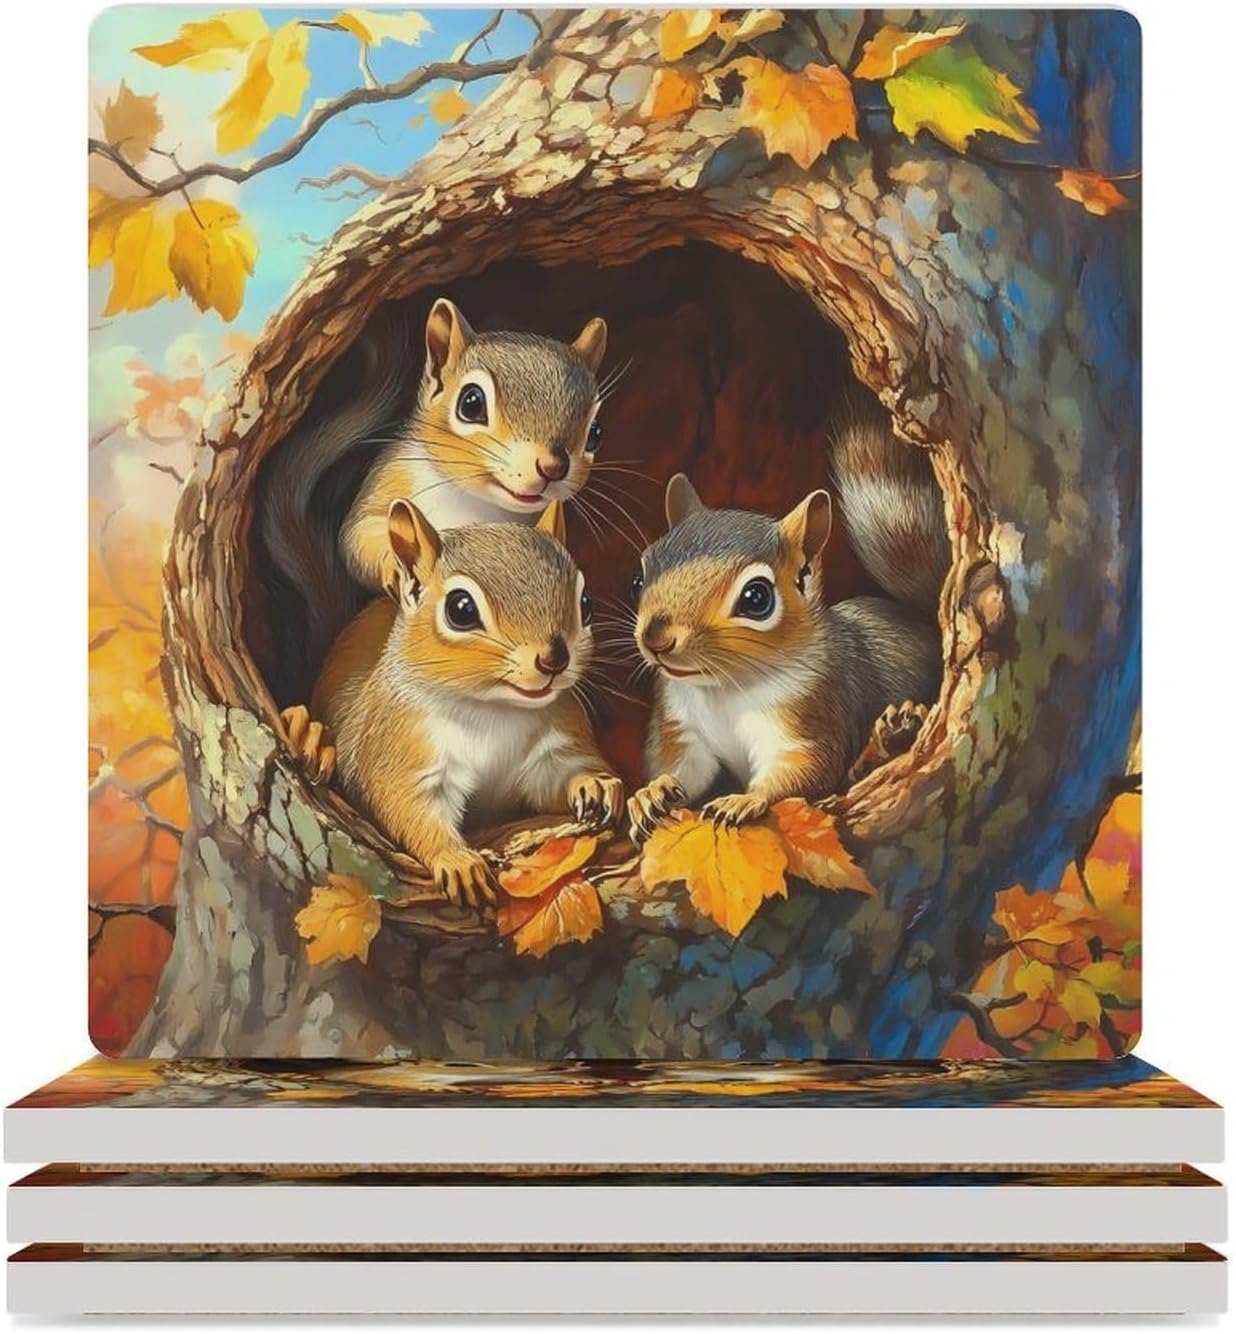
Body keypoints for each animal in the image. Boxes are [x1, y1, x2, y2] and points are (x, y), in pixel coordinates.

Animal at [262, 298, 608, 670]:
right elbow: (357, 535)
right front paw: (394, 566)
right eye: (471, 403)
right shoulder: (392, 477)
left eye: (596, 432)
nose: (552, 467)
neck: (477, 503)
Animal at [309, 498, 623, 906]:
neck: (492, 710)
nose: (554, 659)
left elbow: (559, 779)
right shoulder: (401, 747)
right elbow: (407, 805)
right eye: (461, 609)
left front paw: (595, 783)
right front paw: (457, 860)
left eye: (586, 603)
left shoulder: (557, 740)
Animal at [625, 414, 948, 841]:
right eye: (638, 578)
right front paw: (651, 791)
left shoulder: (810, 714)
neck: (725, 690)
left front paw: (744, 800)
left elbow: (803, 767)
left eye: (756, 598)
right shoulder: (681, 724)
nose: (656, 640)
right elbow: (683, 767)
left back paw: (893, 734)